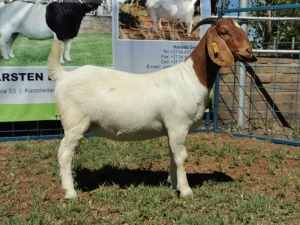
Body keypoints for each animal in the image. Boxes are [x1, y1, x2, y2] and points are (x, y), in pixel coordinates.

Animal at [48, 18, 256, 200]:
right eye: (224, 32)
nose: (249, 52)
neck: (190, 77)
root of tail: (63, 77)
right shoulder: (178, 125)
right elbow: (181, 156)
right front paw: (186, 191)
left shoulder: (172, 129)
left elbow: (172, 154)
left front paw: (173, 184)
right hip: (75, 123)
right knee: (64, 154)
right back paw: (70, 193)